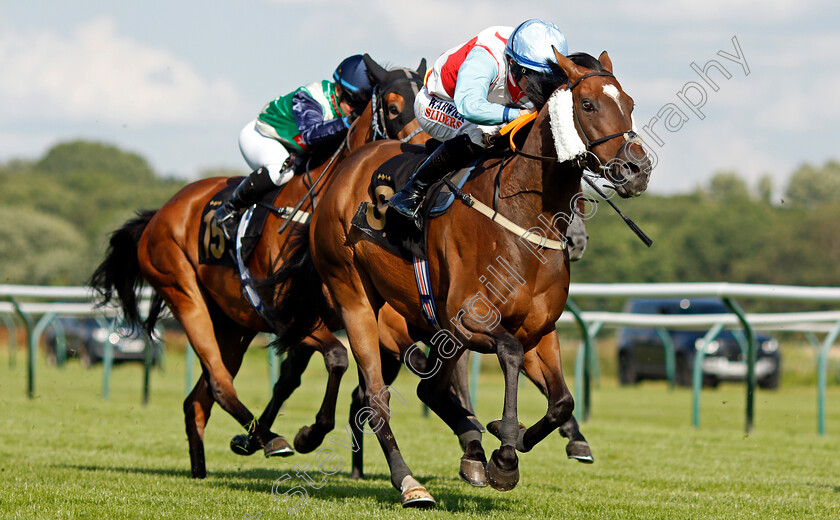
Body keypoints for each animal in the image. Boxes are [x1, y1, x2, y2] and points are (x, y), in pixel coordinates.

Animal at [92, 57, 430, 480]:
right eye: (394, 106)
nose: (424, 153)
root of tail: (158, 215)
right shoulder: (287, 317)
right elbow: (334, 359)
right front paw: (306, 435)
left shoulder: (354, 312)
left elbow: (309, 374)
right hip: (184, 295)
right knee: (219, 383)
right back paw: (269, 439)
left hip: (233, 325)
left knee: (198, 399)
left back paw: (208, 465)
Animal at [292, 49, 652, 508]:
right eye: (587, 104)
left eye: (630, 103)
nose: (638, 168)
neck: (525, 217)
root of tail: (346, 167)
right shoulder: (469, 316)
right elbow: (509, 353)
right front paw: (506, 453)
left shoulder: (540, 329)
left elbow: (563, 401)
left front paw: (512, 441)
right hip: (355, 297)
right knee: (375, 397)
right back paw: (409, 482)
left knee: (430, 391)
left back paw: (471, 448)